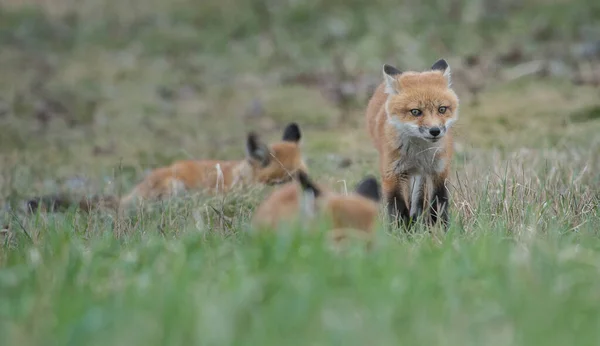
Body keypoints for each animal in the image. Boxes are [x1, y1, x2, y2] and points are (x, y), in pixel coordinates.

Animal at [22, 122, 308, 214]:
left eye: (304, 175)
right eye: (285, 179)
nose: (309, 190)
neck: (239, 178)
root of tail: (132, 192)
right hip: (172, 185)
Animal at [366, 58, 460, 228]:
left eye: (442, 109)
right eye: (415, 112)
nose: (435, 131)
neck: (419, 153)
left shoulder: (438, 171)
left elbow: (438, 204)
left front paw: (441, 230)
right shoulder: (393, 173)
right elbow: (398, 207)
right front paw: (402, 231)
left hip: (420, 177)